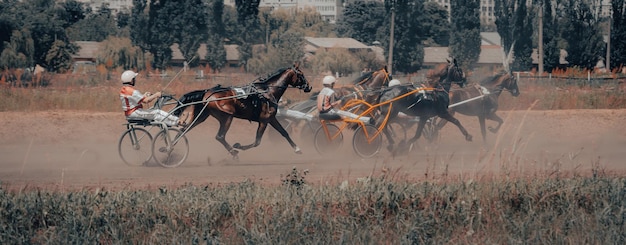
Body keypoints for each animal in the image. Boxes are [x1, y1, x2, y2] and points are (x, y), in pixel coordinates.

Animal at [172, 63, 310, 159]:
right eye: (301, 74)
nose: (309, 86)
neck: (268, 91)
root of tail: (208, 93)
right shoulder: (264, 120)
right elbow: (257, 141)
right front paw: (239, 146)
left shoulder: (271, 119)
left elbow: (284, 132)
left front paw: (297, 149)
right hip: (227, 117)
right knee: (220, 136)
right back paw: (234, 152)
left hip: (202, 117)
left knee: (184, 130)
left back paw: (170, 147)